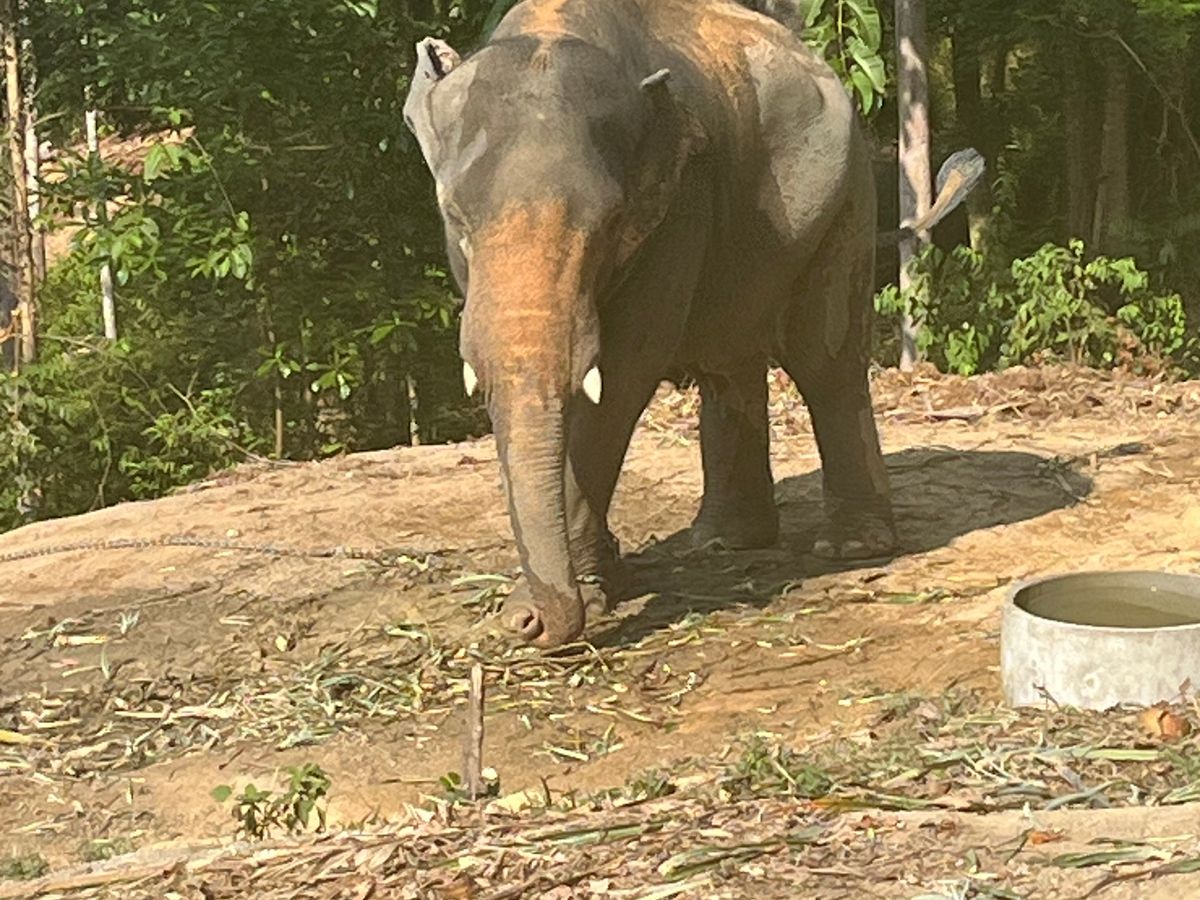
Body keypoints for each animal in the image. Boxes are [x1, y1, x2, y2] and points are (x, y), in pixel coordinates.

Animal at [404, 0, 980, 649]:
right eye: (455, 216)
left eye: (612, 224)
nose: (529, 626)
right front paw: (602, 578)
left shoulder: (679, 201)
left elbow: (622, 376)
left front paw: (577, 598)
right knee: (729, 367)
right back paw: (726, 541)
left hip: (848, 200)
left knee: (823, 361)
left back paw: (849, 546)